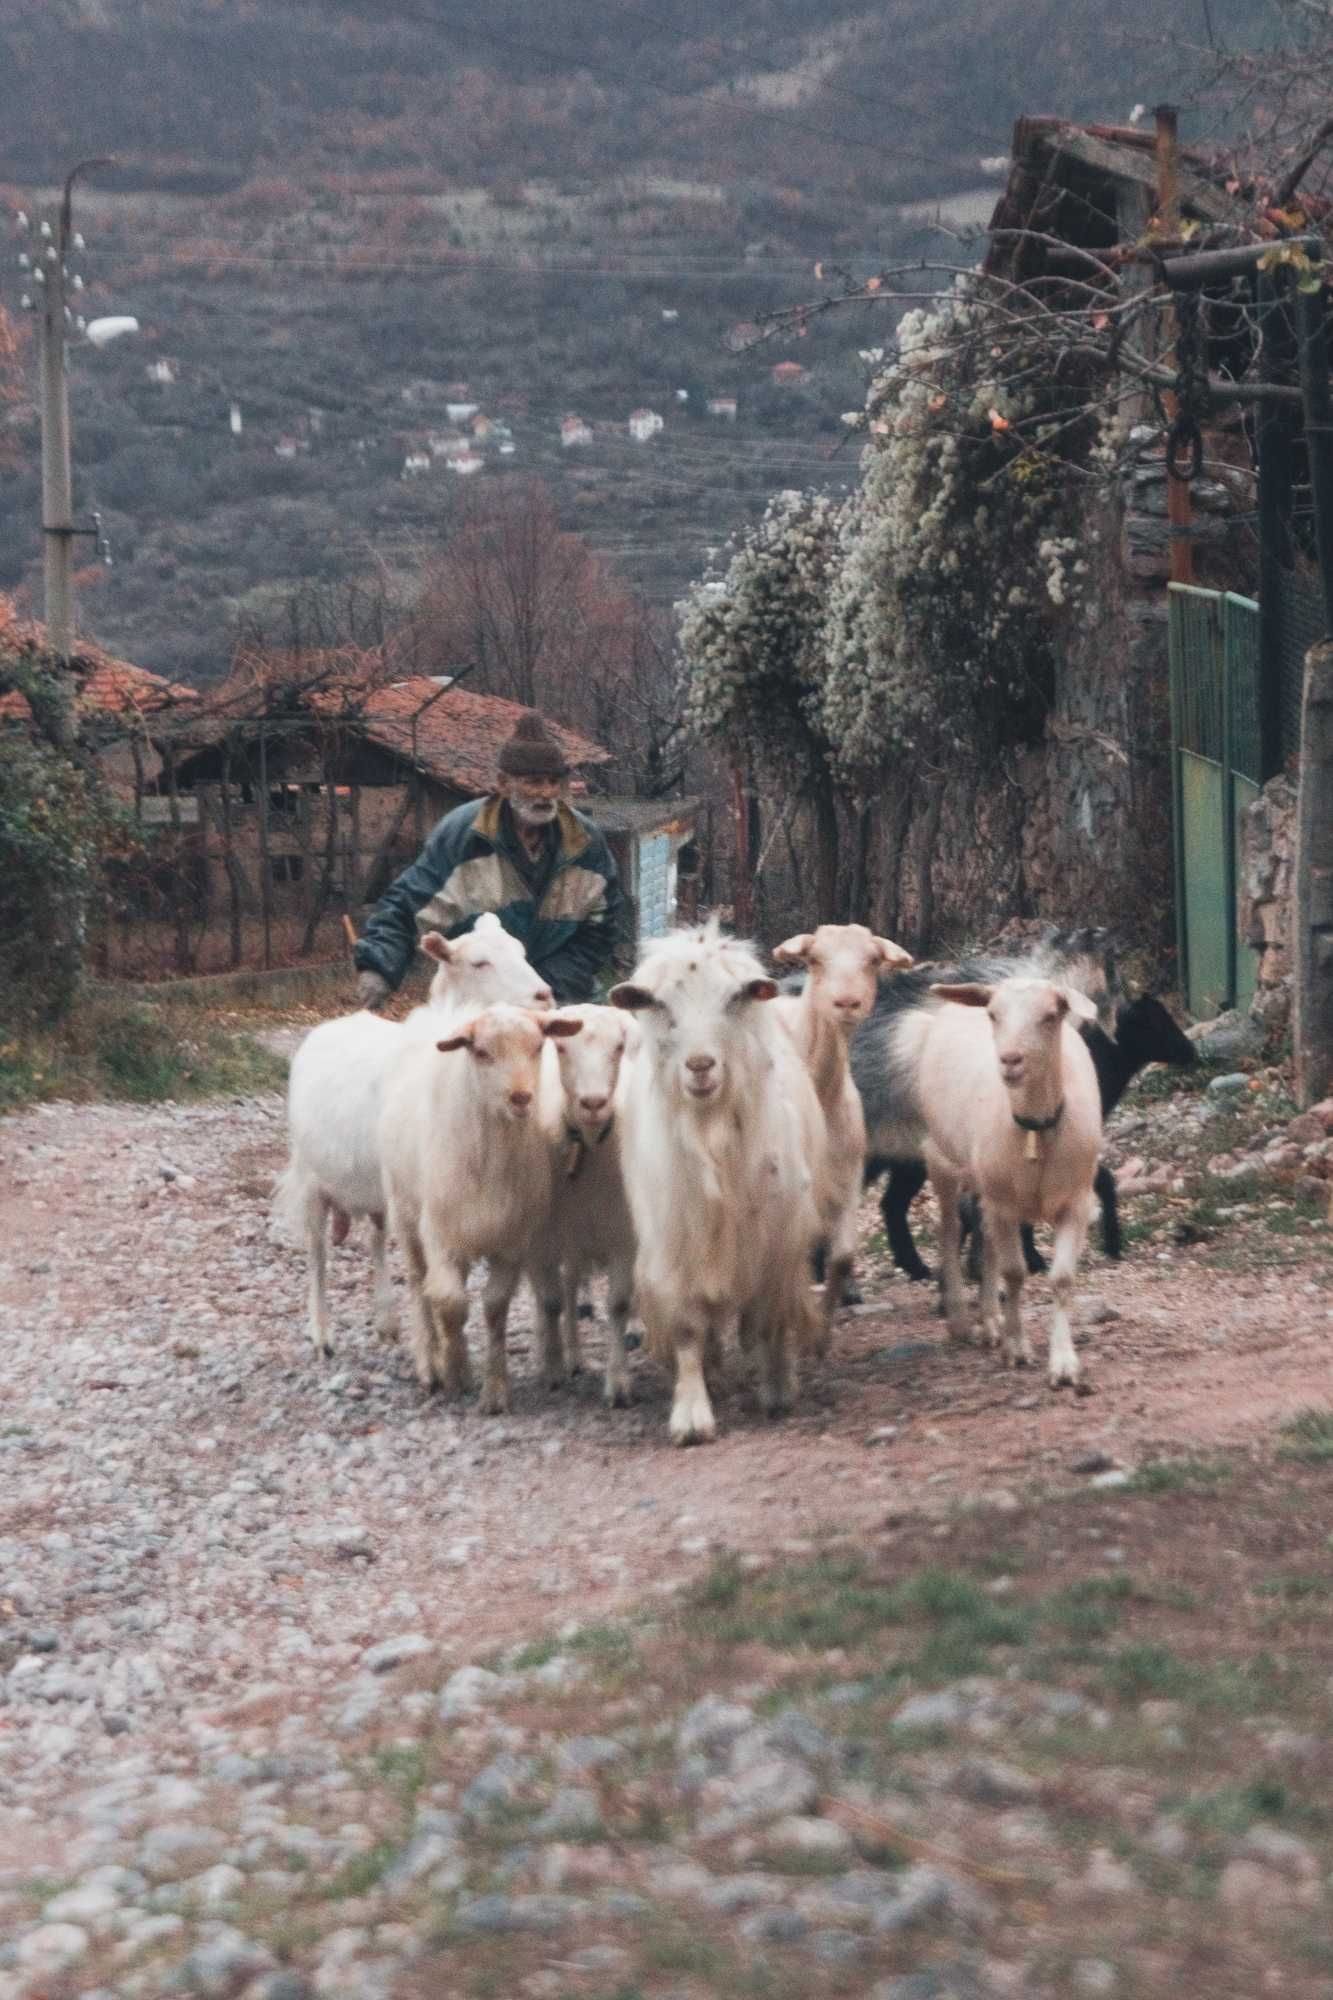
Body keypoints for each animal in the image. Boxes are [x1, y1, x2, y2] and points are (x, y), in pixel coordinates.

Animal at [274, 916, 548, 1360]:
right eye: (479, 962)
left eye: (522, 951)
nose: (544, 995)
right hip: (311, 1177)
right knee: (317, 1253)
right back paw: (321, 1334)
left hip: (374, 1188)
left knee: (376, 1237)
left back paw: (386, 1320)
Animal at [376, 1000, 580, 1408]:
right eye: (482, 1052)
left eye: (538, 1046)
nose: (521, 1097)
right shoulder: (440, 1234)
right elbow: (451, 1304)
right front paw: (455, 1371)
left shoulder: (511, 1242)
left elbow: (494, 1308)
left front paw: (495, 1389)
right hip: (405, 1214)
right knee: (419, 1285)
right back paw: (429, 1364)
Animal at [520, 1000, 636, 1408]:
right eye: (562, 1048)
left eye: (619, 1047)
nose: (594, 1103)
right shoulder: (540, 1241)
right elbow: (550, 1301)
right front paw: (552, 1369)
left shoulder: (623, 1237)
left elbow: (617, 1305)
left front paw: (618, 1383)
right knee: (550, 1297)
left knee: (572, 1286)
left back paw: (575, 1355)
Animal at [608, 916, 820, 1448]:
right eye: (659, 1004)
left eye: (733, 1000)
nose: (701, 1066)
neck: (712, 1134)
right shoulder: (675, 1242)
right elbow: (687, 1327)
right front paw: (691, 1415)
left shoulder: (777, 1241)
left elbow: (768, 1319)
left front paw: (777, 1390)